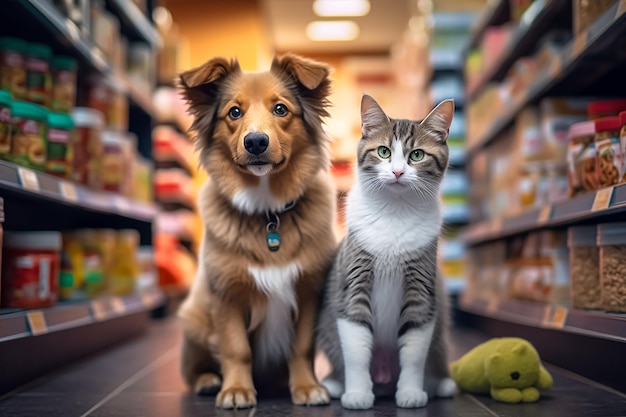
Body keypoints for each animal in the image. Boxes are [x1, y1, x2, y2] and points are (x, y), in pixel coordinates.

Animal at [176, 53, 336, 408]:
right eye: (234, 112)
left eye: (280, 109)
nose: (256, 142)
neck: (268, 215)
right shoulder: (227, 295)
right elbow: (236, 349)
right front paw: (236, 390)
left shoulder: (308, 290)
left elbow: (301, 348)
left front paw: (306, 387)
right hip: (194, 320)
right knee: (193, 370)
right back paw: (208, 380)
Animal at [316, 92, 454, 408]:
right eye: (383, 151)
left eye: (417, 155)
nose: (398, 171)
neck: (395, 210)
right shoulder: (354, 279)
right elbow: (356, 348)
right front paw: (356, 394)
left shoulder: (421, 287)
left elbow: (414, 351)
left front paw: (411, 393)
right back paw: (335, 384)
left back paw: (440, 384)